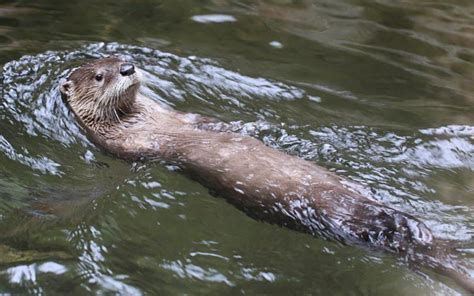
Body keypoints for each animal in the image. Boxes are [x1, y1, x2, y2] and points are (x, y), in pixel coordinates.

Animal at [61, 56, 472, 292]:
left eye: (123, 57)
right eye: (100, 76)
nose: (128, 69)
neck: (144, 120)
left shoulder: (179, 116)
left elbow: (203, 121)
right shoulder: (130, 144)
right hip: (341, 213)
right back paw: (407, 227)